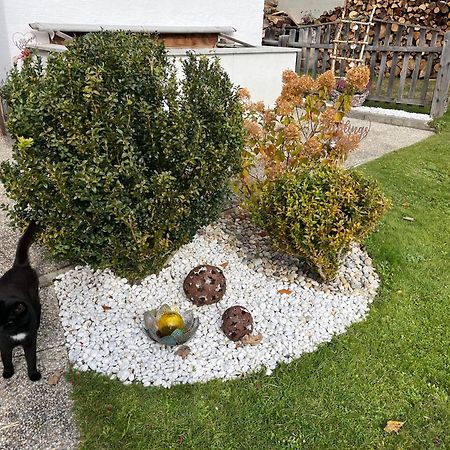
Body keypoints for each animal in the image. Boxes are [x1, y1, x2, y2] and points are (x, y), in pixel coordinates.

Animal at [0, 221, 40, 380]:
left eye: (10, 321)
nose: (1, 329)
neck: (16, 332)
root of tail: (19, 266)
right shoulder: (4, 344)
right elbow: (6, 359)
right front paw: (8, 373)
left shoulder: (29, 341)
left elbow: (31, 358)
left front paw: (33, 375)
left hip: (35, 295)